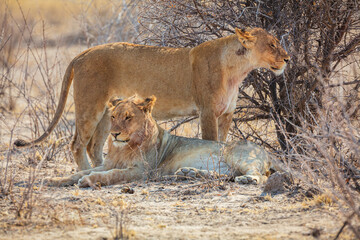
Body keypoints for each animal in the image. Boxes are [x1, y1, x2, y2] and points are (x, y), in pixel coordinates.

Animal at [14, 27, 290, 171]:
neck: (237, 69)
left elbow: (222, 143)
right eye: (272, 45)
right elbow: (211, 142)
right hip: (89, 107)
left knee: (94, 145)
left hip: (107, 114)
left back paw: (104, 167)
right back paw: (87, 172)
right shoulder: (207, 112)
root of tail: (83, 52)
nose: (288, 59)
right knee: (77, 144)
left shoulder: (226, 114)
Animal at [47, 95, 278, 188]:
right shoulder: (107, 163)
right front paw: (55, 180)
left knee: (260, 176)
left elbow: (111, 175)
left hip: (238, 156)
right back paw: (189, 173)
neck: (123, 148)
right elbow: (79, 172)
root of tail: (267, 153)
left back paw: (247, 180)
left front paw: (88, 181)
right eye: (113, 117)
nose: (113, 134)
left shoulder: (142, 171)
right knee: (227, 175)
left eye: (128, 117)